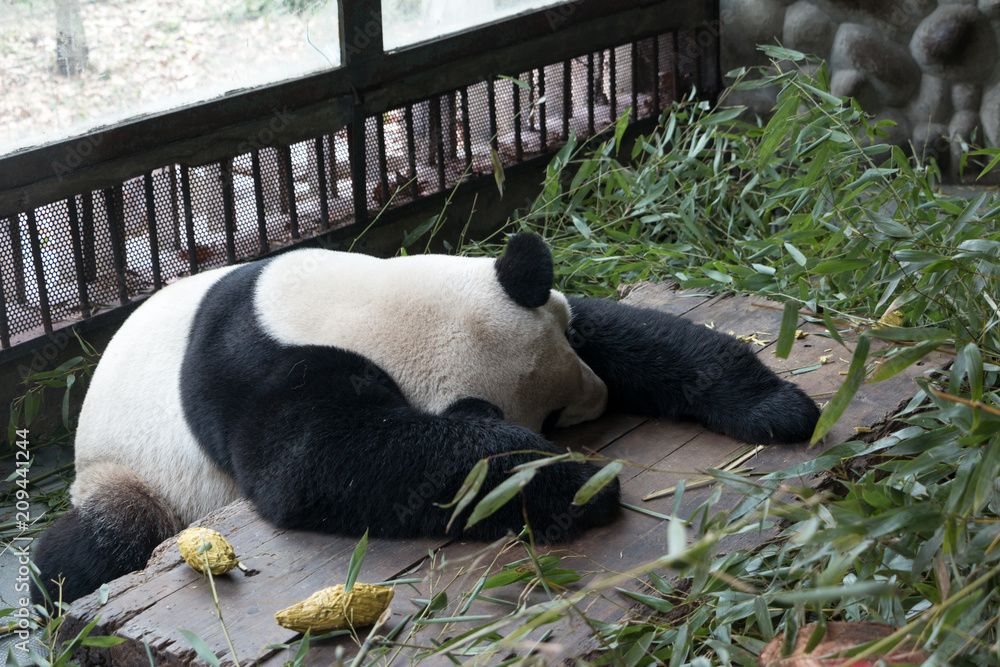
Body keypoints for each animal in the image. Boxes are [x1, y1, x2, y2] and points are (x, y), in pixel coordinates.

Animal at [33, 234, 820, 604]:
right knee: (95, 543)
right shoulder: (260, 376)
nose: (596, 401)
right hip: (130, 472)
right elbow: (320, 459)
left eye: (570, 347)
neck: (359, 307)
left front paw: (778, 405)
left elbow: (634, 332)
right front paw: (572, 482)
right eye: (555, 411)